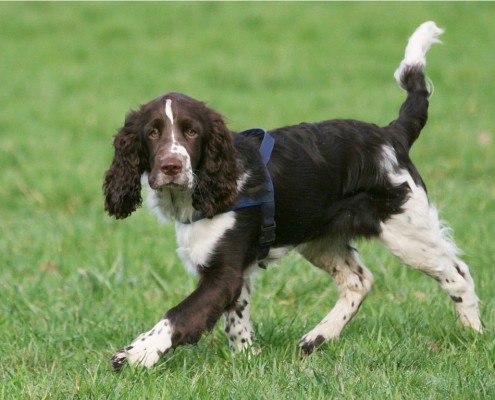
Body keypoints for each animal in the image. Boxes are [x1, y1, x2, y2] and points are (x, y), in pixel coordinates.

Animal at [103, 21, 480, 372]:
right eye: (152, 133)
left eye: (192, 132)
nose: (171, 166)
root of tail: (392, 134)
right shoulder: (234, 270)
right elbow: (237, 319)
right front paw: (247, 358)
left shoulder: (222, 273)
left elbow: (178, 315)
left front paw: (135, 354)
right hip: (321, 239)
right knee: (359, 280)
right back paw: (317, 337)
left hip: (406, 230)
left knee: (457, 272)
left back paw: (472, 333)